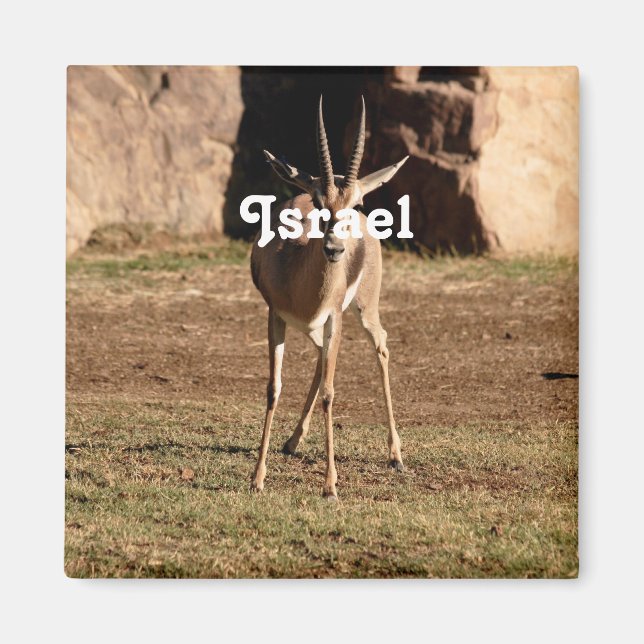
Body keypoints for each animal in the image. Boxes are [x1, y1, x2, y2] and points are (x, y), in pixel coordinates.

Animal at [249, 96, 408, 500]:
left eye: (356, 202)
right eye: (319, 201)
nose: (335, 249)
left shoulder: (334, 316)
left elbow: (330, 393)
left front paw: (331, 485)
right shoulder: (275, 315)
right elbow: (274, 388)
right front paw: (257, 478)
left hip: (364, 309)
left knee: (381, 345)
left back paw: (396, 455)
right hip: (310, 327)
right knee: (321, 358)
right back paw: (292, 441)